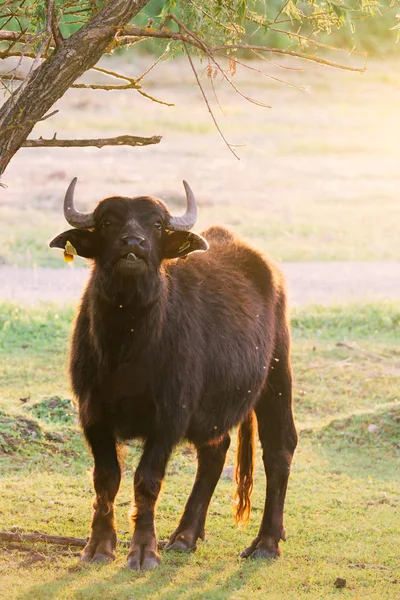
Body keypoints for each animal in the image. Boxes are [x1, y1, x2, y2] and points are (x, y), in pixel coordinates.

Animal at [50, 176, 296, 568]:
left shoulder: (169, 417)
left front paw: (143, 551)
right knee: (215, 452)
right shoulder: (92, 414)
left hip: (276, 376)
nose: (133, 245)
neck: (128, 344)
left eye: (156, 224)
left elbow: (146, 480)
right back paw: (184, 536)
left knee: (278, 450)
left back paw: (266, 543)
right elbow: (106, 479)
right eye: (107, 222)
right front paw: (99, 547)